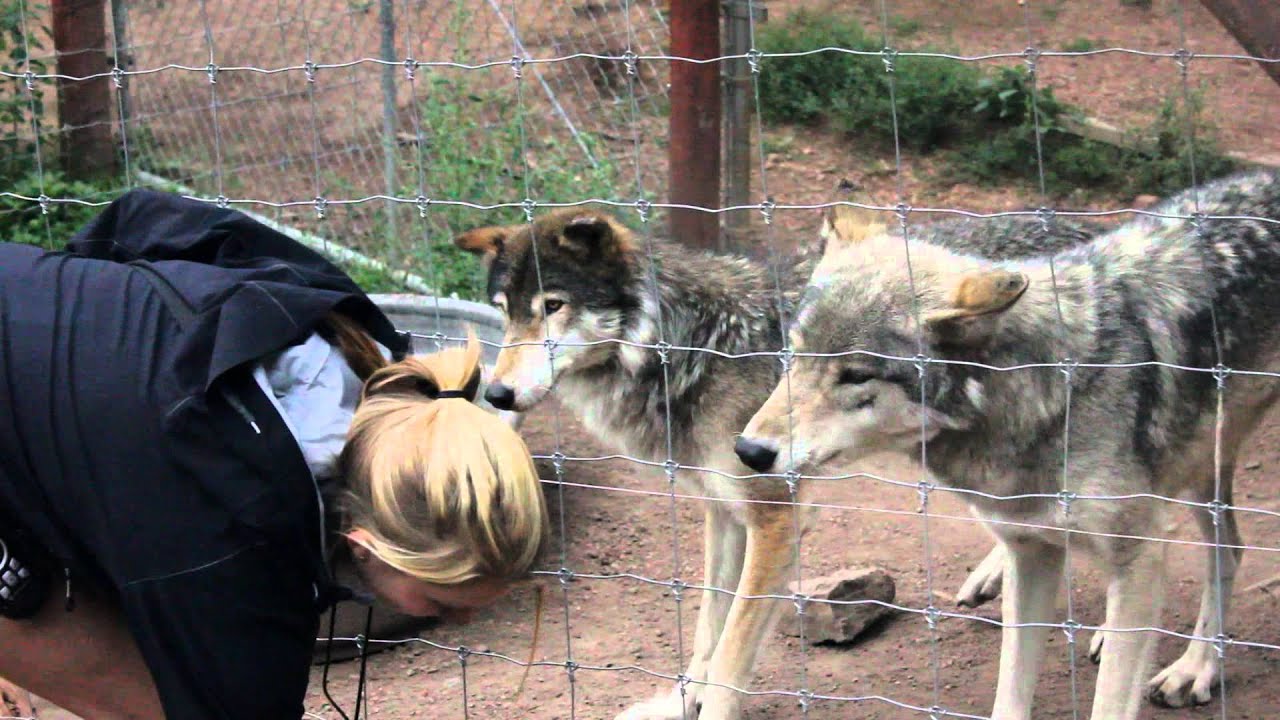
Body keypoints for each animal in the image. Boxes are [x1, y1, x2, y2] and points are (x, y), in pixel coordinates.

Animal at [453, 208, 1099, 720]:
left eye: (553, 306)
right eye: (504, 312)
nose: (498, 395)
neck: (694, 348)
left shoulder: (775, 519)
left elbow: (733, 653)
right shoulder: (722, 512)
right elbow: (708, 629)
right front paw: (683, 699)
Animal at [736, 169, 1280, 719]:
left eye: (855, 375)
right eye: (793, 354)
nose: (750, 451)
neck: (1050, 393)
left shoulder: (1138, 555)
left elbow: (1110, 694)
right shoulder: (1033, 553)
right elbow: (1012, 688)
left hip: (1201, 469)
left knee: (1228, 550)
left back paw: (1195, 667)